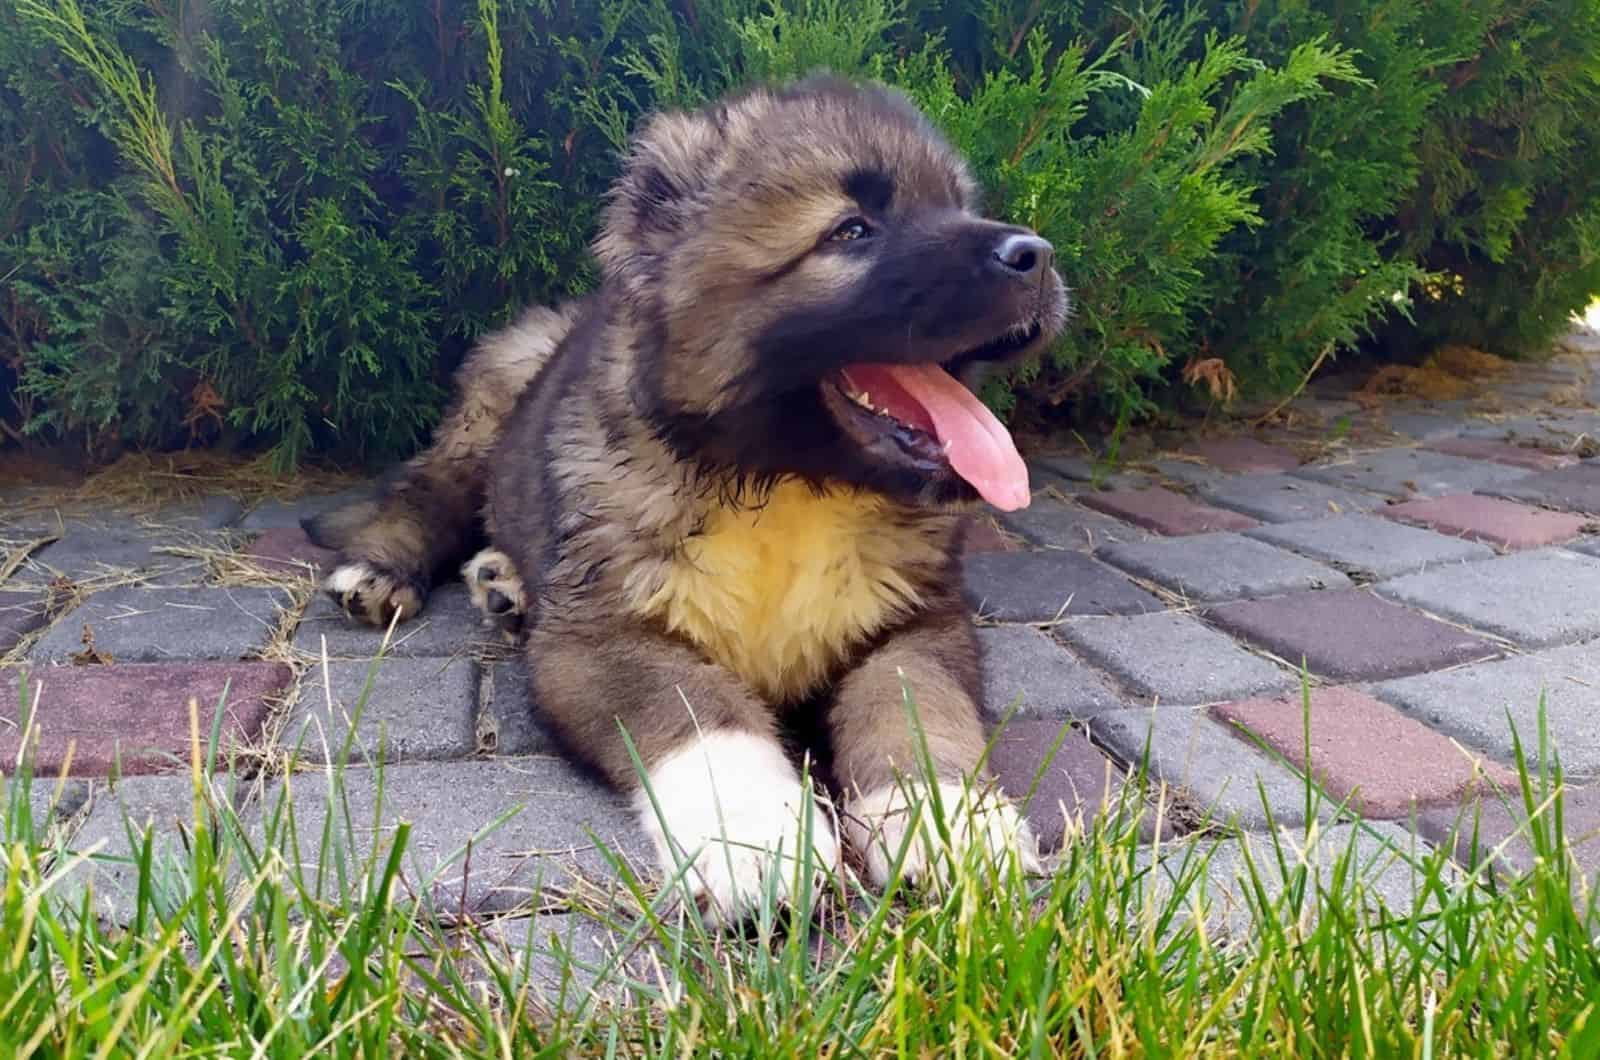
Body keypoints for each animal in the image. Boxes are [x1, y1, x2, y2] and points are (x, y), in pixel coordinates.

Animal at [305, 70, 1068, 928]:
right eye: (851, 231)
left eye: (959, 204)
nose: (1036, 256)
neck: (788, 485)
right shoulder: (601, 637)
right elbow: (703, 712)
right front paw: (757, 837)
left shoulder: (919, 623)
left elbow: (917, 708)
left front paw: (952, 822)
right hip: (494, 407)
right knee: (429, 490)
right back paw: (386, 573)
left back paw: (503, 579)